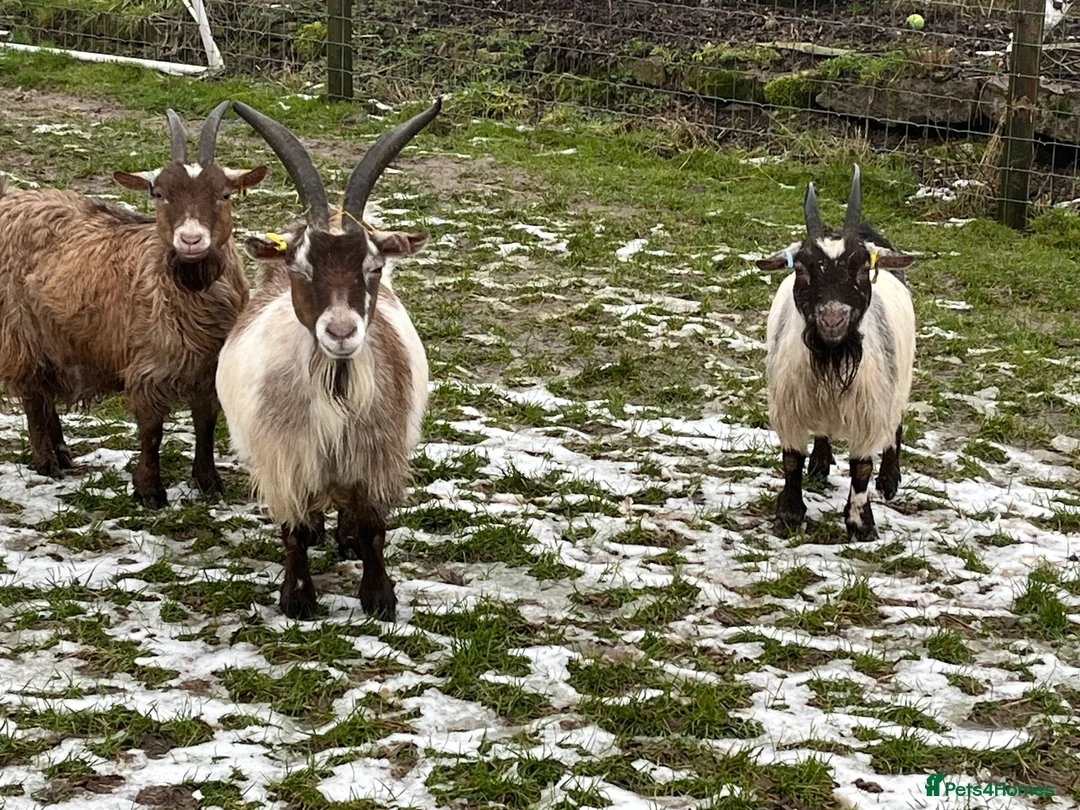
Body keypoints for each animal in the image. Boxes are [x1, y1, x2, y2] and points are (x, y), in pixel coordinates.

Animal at [0, 102, 267, 507]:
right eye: (158, 193)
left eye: (224, 194)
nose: (191, 239)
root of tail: (13, 199)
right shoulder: (148, 366)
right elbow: (151, 431)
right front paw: (149, 491)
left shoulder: (208, 368)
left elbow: (205, 423)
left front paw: (209, 482)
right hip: (20, 330)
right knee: (33, 393)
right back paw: (47, 460)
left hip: (56, 336)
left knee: (45, 393)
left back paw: (62, 450)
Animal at [216, 100, 439, 620]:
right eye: (302, 266)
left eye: (372, 266)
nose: (340, 331)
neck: (335, 388)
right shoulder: (286, 460)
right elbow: (293, 530)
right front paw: (298, 600)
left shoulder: (377, 456)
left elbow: (374, 527)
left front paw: (379, 598)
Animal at [756, 165, 915, 540]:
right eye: (801, 268)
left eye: (861, 268)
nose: (832, 318)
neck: (831, 358)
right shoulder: (789, 407)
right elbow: (791, 460)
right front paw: (789, 514)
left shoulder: (869, 410)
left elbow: (861, 468)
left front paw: (861, 524)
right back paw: (820, 462)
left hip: (900, 378)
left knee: (896, 423)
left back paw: (890, 479)